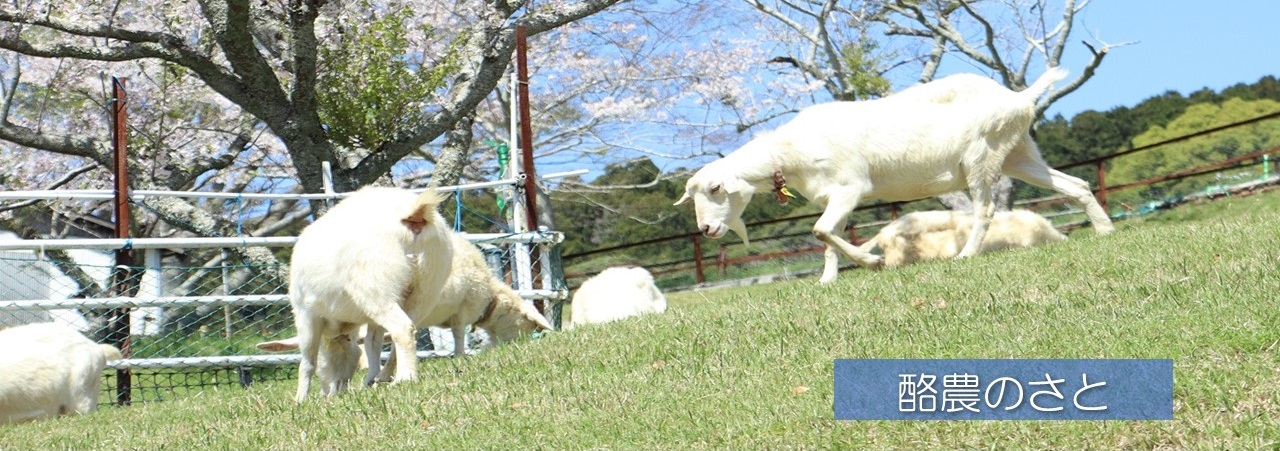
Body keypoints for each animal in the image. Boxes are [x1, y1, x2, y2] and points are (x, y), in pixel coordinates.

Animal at [285, 187, 455, 402]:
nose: (334, 391)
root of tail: (414, 212)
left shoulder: (306, 314)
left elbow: (308, 360)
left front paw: (300, 399)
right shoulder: (370, 318)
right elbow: (372, 343)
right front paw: (371, 378)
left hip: (376, 285)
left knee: (402, 329)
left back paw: (405, 378)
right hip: (424, 288)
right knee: (406, 329)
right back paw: (384, 376)